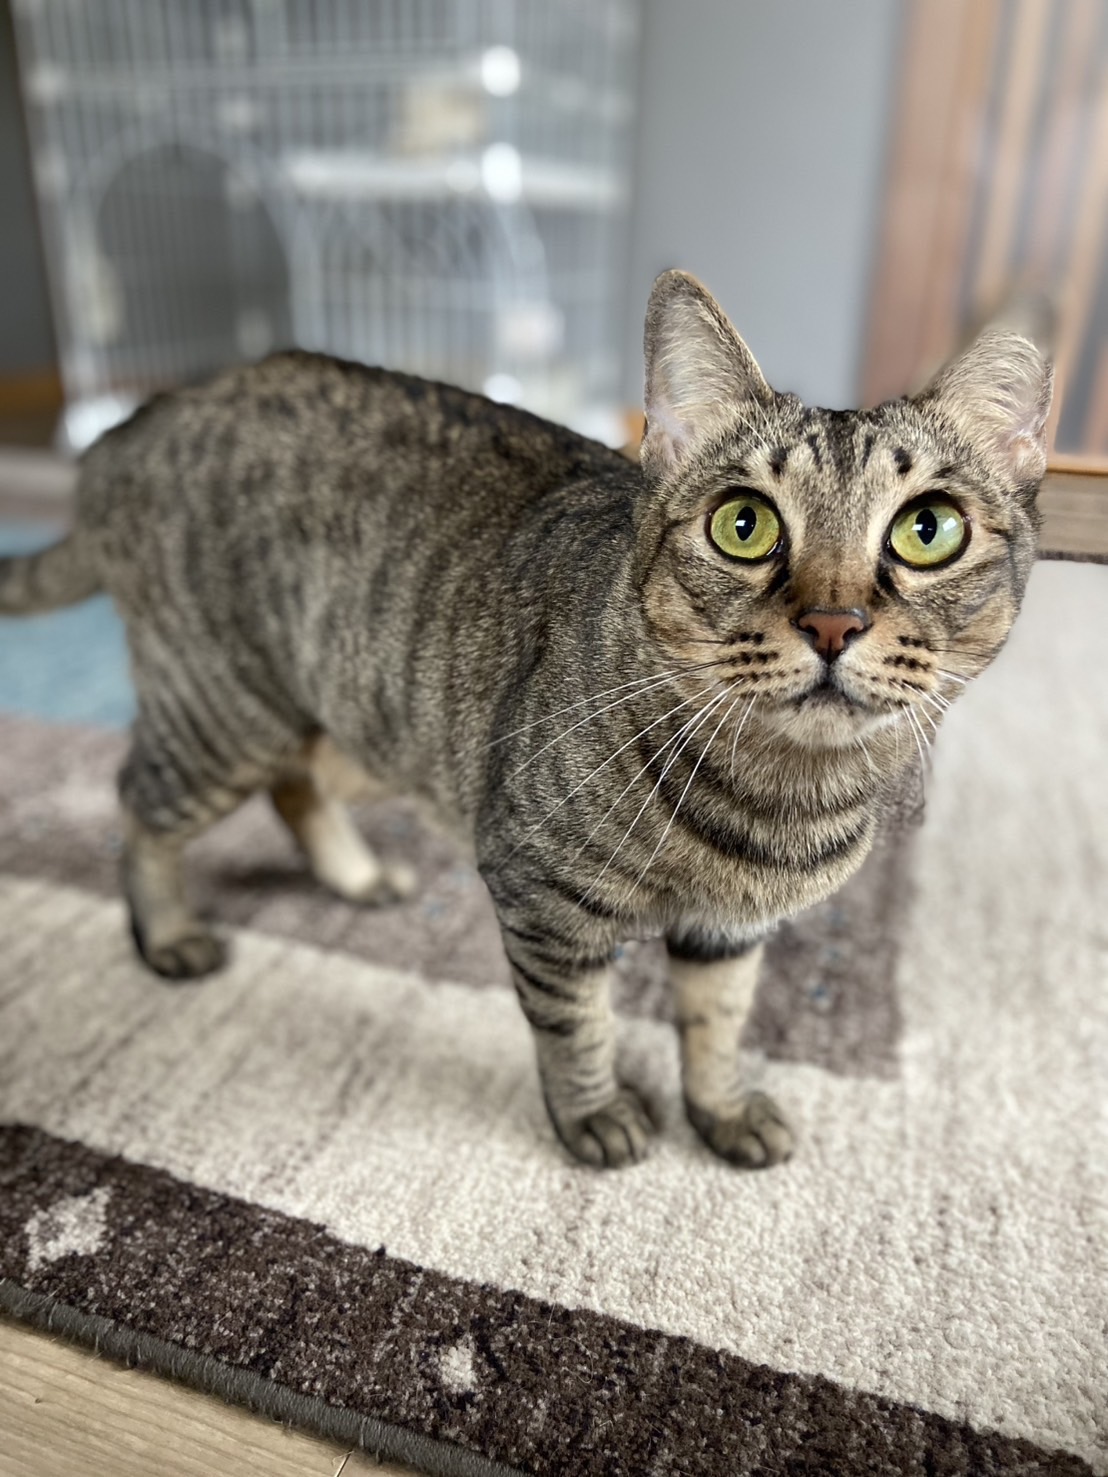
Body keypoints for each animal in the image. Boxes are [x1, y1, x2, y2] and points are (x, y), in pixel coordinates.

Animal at [0, 271, 1052, 1169]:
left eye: (928, 529)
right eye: (744, 524)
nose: (834, 621)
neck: (779, 802)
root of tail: (144, 416)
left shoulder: (729, 933)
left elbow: (715, 1024)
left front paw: (718, 1111)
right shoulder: (540, 895)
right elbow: (576, 1025)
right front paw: (595, 1114)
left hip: (345, 713)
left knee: (293, 787)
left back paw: (353, 875)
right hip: (226, 709)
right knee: (138, 798)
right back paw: (166, 932)